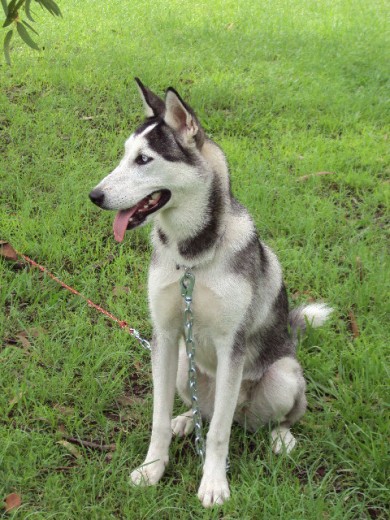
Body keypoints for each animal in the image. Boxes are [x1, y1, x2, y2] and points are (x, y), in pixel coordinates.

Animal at [89, 80, 332, 508]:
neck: (192, 259)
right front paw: (153, 468)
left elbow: (219, 433)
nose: (95, 195)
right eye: (124, 155)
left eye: (144, 159)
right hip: (184, 369)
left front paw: (214, 483)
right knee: (205, 409)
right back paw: (187, 420)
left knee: (254, 418)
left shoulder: (230, 344)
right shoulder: (164, 336)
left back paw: (281, 438)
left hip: (283, 375)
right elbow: (157, 419)